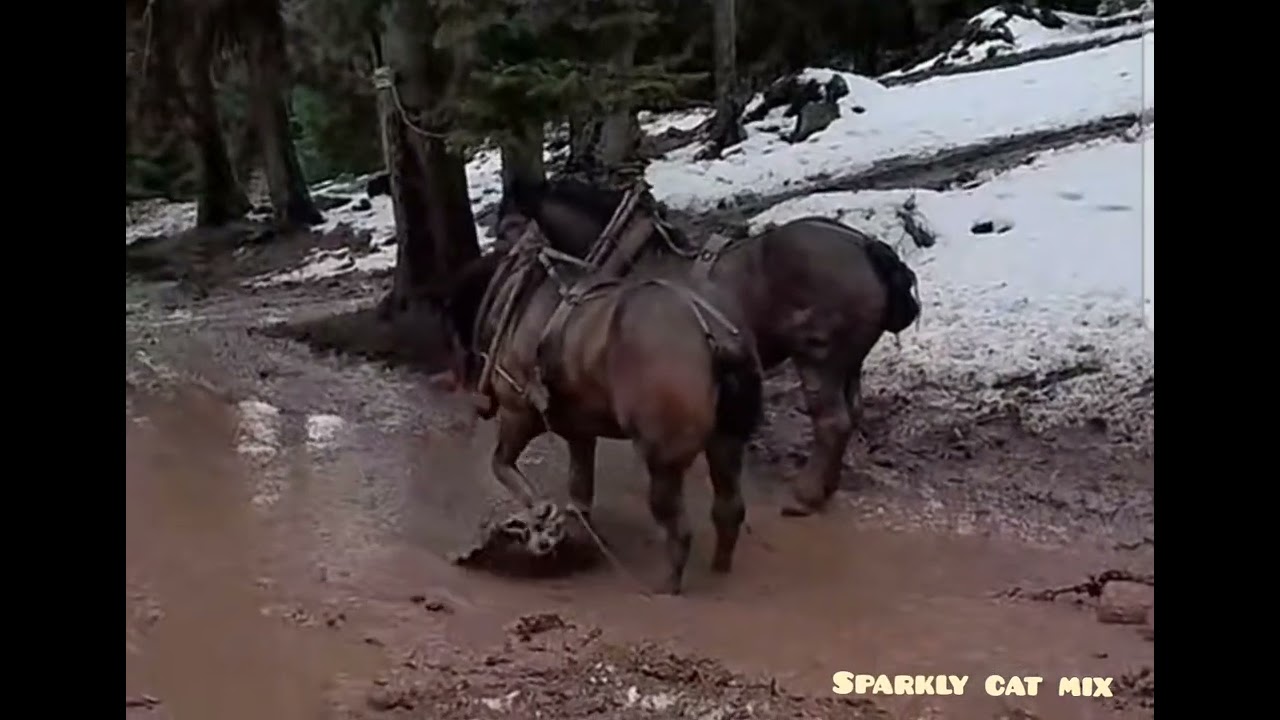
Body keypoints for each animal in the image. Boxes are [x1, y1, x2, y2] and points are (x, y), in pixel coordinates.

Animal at [441, 227, 765, 595]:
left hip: (662, 461)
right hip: (726, 441)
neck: (512, 295)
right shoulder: (579, 433)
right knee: (728, 508)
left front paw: (541, 516)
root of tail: (714, 334)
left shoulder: (518, 415)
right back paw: (719, 569)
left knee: (678, 527)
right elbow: (580, 490)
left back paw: (665, 586)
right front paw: (573, 530)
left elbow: (501, 465)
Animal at [498, 176, 921, 517]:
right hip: (848, 362)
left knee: (832, 422)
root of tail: (866, 246)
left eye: (506, 226)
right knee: (851, 413)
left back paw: (804, 496)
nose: (504, 267)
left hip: (818, 357)